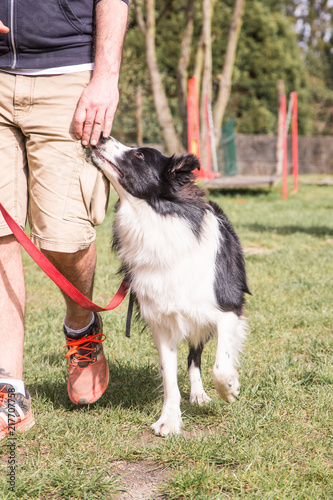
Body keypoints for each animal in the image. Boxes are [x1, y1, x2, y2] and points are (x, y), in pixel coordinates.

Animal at [89, 138, 249, 438]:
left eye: (140, 155)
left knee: (196, 356)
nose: (102, 138)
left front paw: (229, 389)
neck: (154, 219)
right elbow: (169, 379)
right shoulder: (161, 321)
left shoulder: (227, 308)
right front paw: (169, 420)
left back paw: (201, 395)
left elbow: (221, 365)